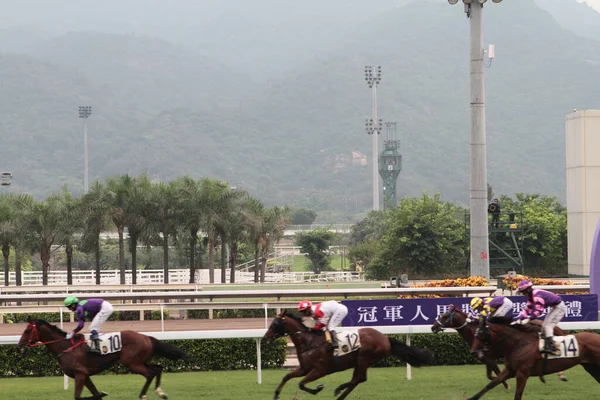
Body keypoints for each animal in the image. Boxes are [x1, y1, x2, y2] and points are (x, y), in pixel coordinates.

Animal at [18, 320, 185, 400]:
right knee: (158, 368)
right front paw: (100, 394)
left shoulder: (80, 374)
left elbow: (78, 396)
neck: (65, 347)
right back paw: (161, 393)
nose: (19, 346)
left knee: (150, 373)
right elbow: (95, 394)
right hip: (139, 361)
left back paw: (143, 395)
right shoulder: (85, 376)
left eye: (27, 330)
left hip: (132, 362)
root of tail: (146, 337)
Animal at [264, 310, 434, 400]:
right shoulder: (304, 369)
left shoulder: (320, 370)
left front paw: (318, 388)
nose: (265, 337)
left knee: (358, 379)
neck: (309, 342)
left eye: (275, 324)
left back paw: (339, 391)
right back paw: (340, 393)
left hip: (363, 358)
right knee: (358, 379)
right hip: (360, 361)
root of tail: (385, 338)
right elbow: (286, 377)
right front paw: (276, 395)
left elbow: (301, 384)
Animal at [432, 304, 568, 386]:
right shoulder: (486, 358)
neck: (475, 332)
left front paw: (506, 385)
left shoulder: (490, 357)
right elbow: (490, 375)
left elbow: (496, 373)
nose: (433, 327)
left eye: (444, 315)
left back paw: (559, 375)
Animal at [468, 316, 600, 400]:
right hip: (590, 366)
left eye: (480, 333)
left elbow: (517, 395)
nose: (473, 352)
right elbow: (490, 385)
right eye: (475, 333)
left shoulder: (522, 373)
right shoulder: (510, 370)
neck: (518, 344)